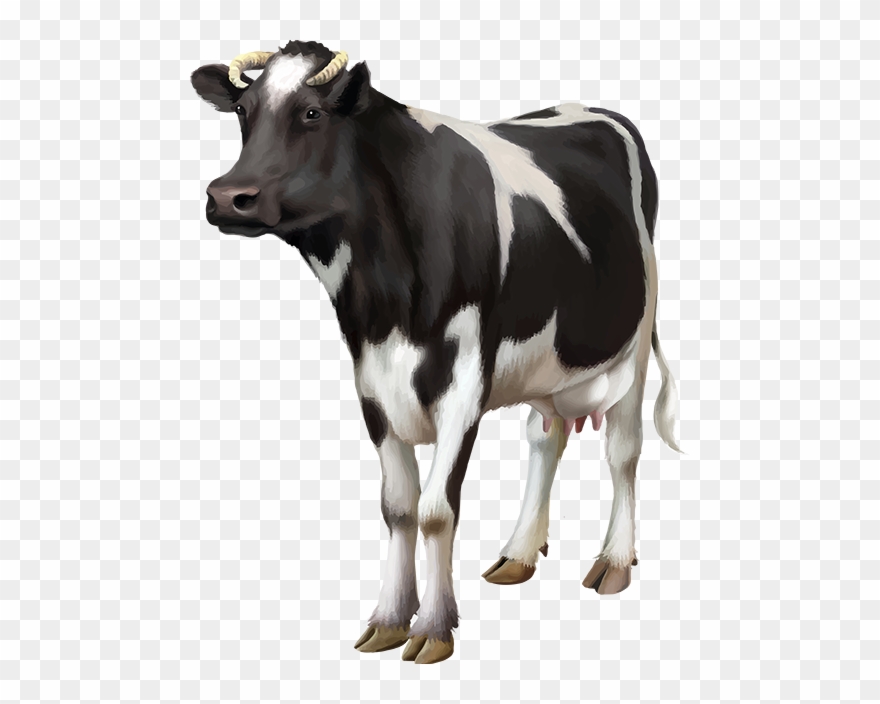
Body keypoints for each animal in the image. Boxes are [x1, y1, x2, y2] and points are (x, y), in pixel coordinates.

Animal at [191, 40, 681, 664]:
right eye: (242, 111)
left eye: (311, 112)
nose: (228, 197)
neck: (384, 299)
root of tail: (592, 108)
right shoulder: (373, 384)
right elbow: (398, 509)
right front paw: (388, 619)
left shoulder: (464, 383)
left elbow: (434, 511)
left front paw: (434, 628)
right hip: (546, 365)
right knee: (545, 437)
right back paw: (519, 552)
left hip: (634, 347)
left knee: (623, 452)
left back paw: (614, 561)